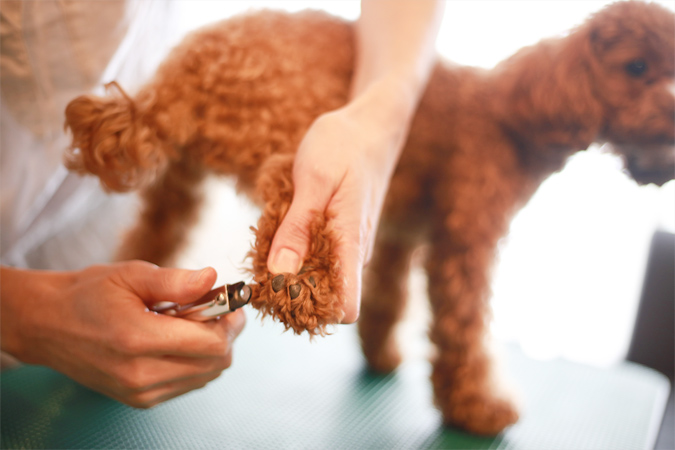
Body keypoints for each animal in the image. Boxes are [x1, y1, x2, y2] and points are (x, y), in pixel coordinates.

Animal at [62, 0, 672, 436]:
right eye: (637, 67)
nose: (669, 112)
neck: (519, 114)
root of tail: (190, 72)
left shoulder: (400, 232)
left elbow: (387, 297)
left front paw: (382, 357)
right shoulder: (465, 240)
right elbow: (463, 328)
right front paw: (477, 407)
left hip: (178, 180)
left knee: (154, 235)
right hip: (295, 138)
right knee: (281, 214)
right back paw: (301, 288)